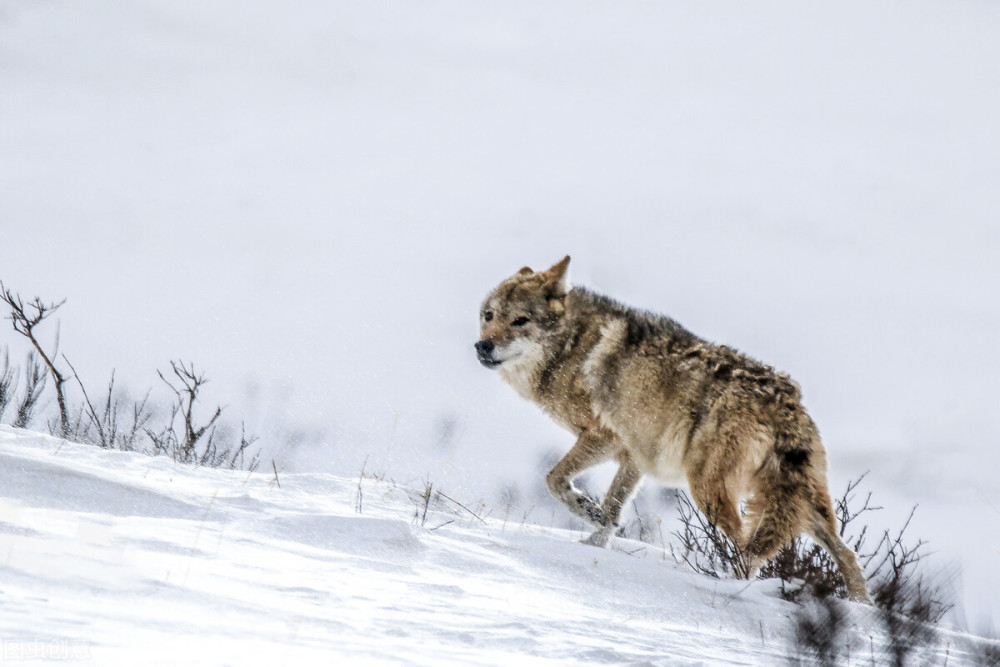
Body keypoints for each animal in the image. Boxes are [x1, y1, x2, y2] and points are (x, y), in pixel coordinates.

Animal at [472, 256, 872, 604]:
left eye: (520, 320)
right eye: (488, 316)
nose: (482, 345)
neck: (570, 346)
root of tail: (785, 400)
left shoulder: (605, 438)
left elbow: (554, 480)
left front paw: (586, 512)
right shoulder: (634, 457)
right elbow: (612, 511)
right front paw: (592, 547)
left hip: (709, 491)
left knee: (746, 550)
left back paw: (731, 589)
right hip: (802, 504)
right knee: (848, 557)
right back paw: (861, 611)